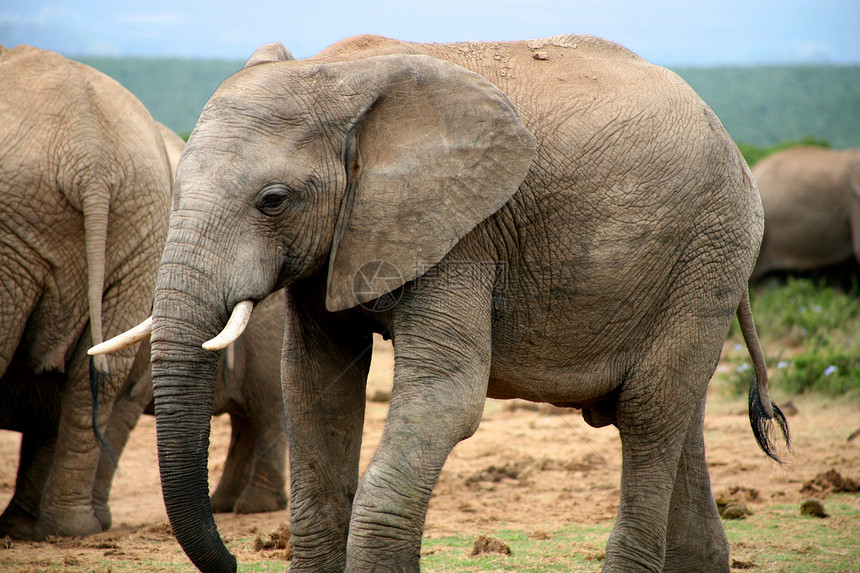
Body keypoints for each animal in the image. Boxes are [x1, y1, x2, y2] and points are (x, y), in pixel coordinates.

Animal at [94, 33, 788, 568]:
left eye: (273, 200)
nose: (236, 562)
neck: (341, 73)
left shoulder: (463, 233)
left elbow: (445, 398)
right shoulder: (341, 245)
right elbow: (314, 388)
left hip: (711, 249)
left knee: (649, 413)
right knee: (678, 415)